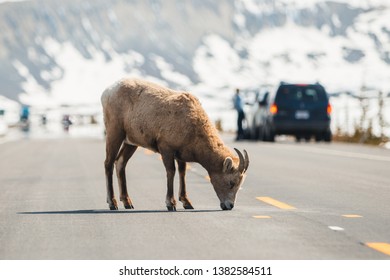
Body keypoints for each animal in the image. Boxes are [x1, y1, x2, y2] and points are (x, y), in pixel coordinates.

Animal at [101, 78, 250, 210]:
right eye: (231, 183)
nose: (229, 206)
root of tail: (108, 91)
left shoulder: (180, 155)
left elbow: (182, 173)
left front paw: (187, 203)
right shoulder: (166, 149)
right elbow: (171, 172)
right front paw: (171, 204)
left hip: (131, 143)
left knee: (120, 163)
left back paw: (127, 203)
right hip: (115, 134)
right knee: (108, 163)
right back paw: (112, 203)